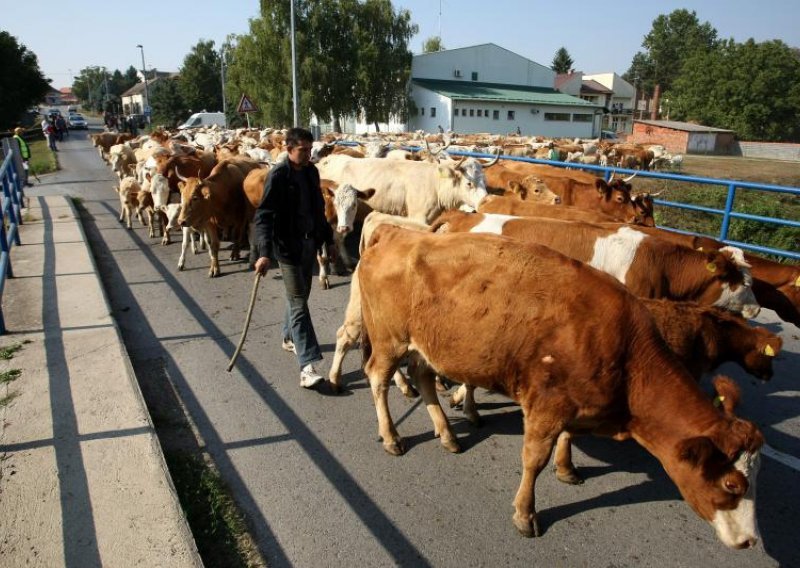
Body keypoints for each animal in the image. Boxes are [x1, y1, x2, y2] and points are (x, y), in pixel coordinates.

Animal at [360, 227, 764, 552]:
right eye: (732, 484)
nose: (750, 541)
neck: (625, 350)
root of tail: (397, 233)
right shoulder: (547, 404)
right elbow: (533, 460)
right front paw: (525, 514)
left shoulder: (575, 402)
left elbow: (568, 438)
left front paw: (566, 467)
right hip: (389, 339)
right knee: (377, 378)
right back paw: (391, 435)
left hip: (425, 345)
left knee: (423, 378)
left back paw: (446, 433)